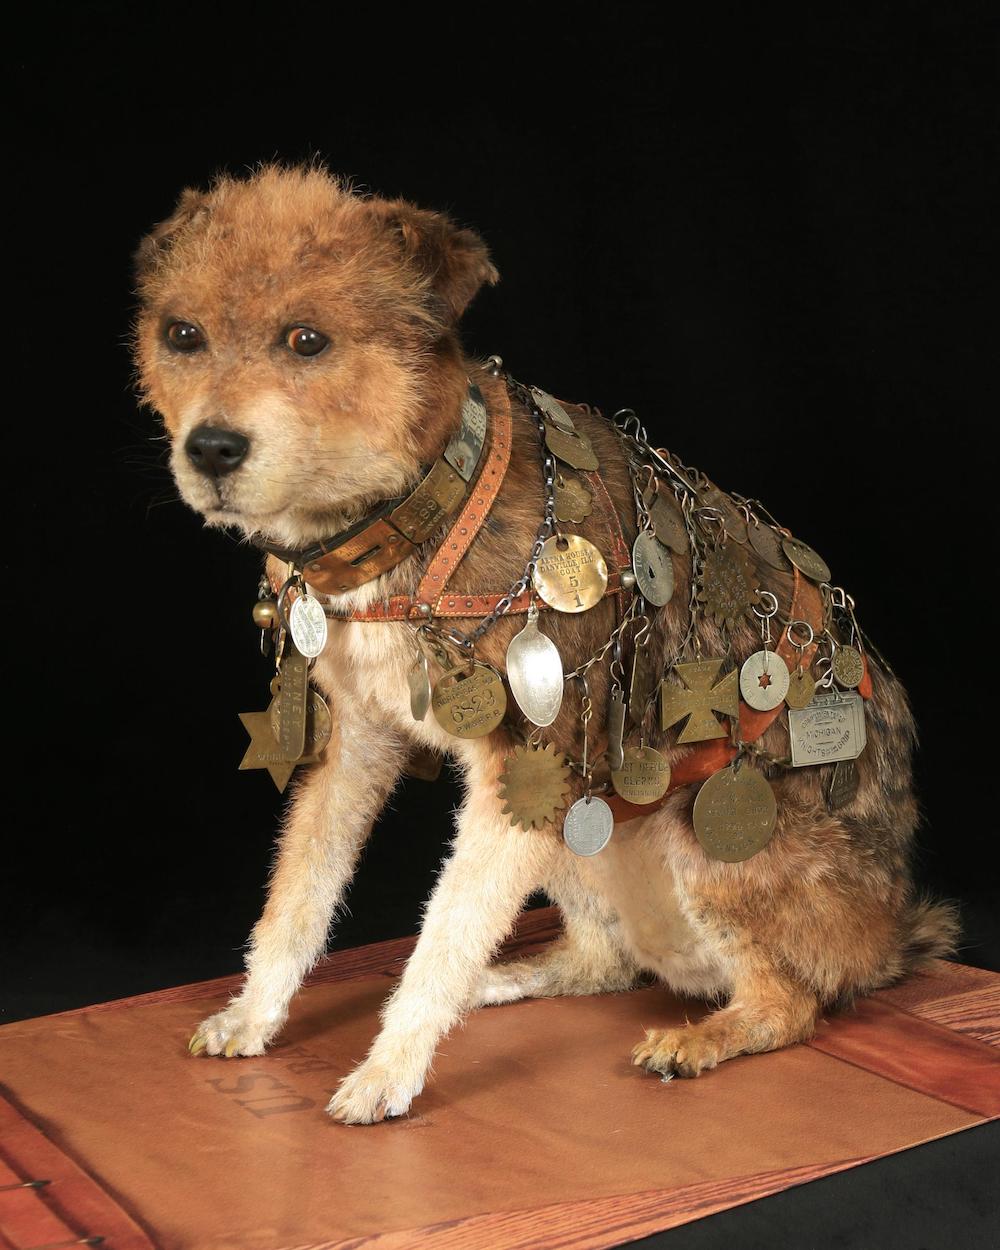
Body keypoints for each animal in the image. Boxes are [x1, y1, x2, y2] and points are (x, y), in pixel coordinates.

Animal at [128, 158, 955, 1125]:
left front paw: (389, 1069)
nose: (211, 449)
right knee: (605, 963)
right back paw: (501, 981)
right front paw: (255, 1014)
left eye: (307, 339)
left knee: (791, 1003)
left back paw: (698, 1037)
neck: (426, 510)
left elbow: (444, 934)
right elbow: (297, 898)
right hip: (582, 834)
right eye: (182, 334)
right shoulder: (359, 749)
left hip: (690, 842)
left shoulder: (530, 769)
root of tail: (892, 933)